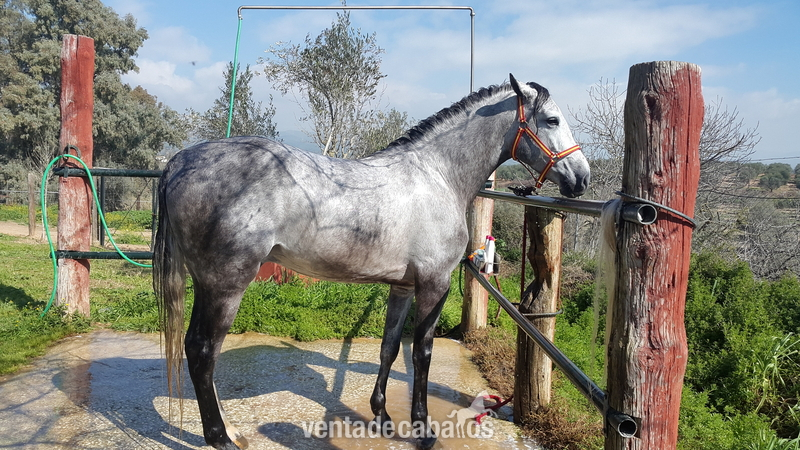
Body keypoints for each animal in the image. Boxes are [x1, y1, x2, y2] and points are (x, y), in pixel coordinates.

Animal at [153, 74, 590, 450]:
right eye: (552, 119)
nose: (582, 178)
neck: (437, 176)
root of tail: (180, 161)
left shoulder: (402, 286)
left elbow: (389, 347)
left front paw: (381, 417)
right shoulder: (434, 284)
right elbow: (422, 354)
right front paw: (422, 431)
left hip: (209, 285)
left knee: (199, 352)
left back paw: (229, 429)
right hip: (225, 285)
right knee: (202, 351)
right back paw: (219, 438)